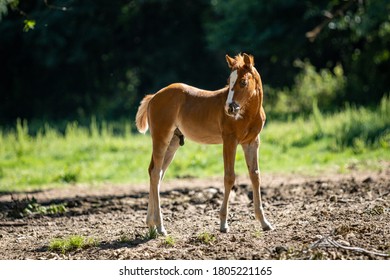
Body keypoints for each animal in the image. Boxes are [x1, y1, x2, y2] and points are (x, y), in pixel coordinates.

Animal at [136, 52, 272, 234]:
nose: (229, 108)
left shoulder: (252, 142)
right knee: (157, 173)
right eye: (229, 82)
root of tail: (153, 97)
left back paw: (151, 225)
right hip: (161, 137)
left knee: (155, 173)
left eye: (243, 82)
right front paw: (223, 224)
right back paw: (160, 226)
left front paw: (264, 222)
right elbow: (229, 177)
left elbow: (255, 176)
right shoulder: (229, 140)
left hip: (173, 142)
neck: (249, 113)